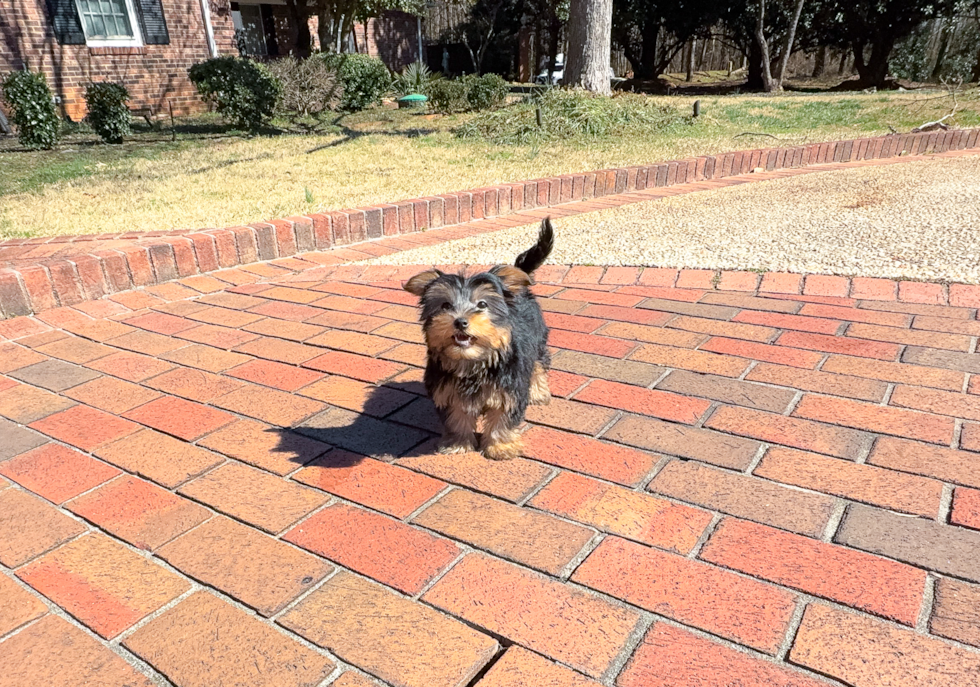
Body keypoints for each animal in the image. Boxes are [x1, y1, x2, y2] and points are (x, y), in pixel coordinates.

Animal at [398, 218, 552, 460]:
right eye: (445, 305)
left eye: (482, 304)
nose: (460, 321)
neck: (472, 362)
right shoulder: (449, 392)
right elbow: (457, 418)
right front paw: (458, 443)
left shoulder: (508, 389)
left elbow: (502, 419)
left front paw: (501, 447)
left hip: (537, 341)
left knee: (538, 365)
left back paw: (538, 392)